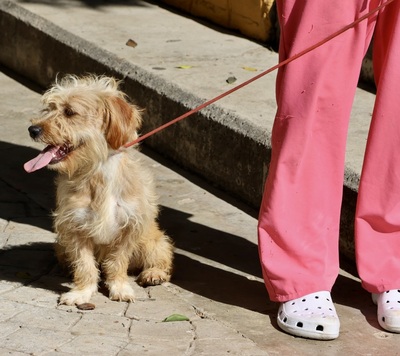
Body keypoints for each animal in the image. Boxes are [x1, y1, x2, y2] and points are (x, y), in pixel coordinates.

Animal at [24, 75, 173, 306]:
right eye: (49, 108)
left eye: (69, 112)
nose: (33, 130)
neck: (98, 172)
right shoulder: (74, 227)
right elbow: (85, 265)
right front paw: (82, 292)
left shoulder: (129, 226)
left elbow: (117, 262)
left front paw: (119, 287)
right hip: (61, 243)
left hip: (152, 241)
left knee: (162, 258)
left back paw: (153, 273)